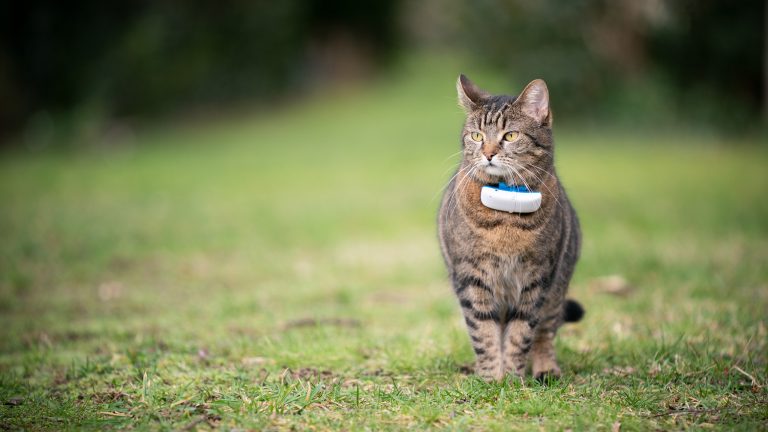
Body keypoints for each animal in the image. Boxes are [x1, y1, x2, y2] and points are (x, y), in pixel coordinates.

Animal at [438, 74, 584, 382]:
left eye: (511, 136)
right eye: (477, 136)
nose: (488, 154)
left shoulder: (537, 278)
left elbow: (521, 333)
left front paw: (513, 379)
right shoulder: (471, 277)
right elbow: (483, 331)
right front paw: (491, 378)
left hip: (557, 288)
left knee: (545, 332)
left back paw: (546, 369)